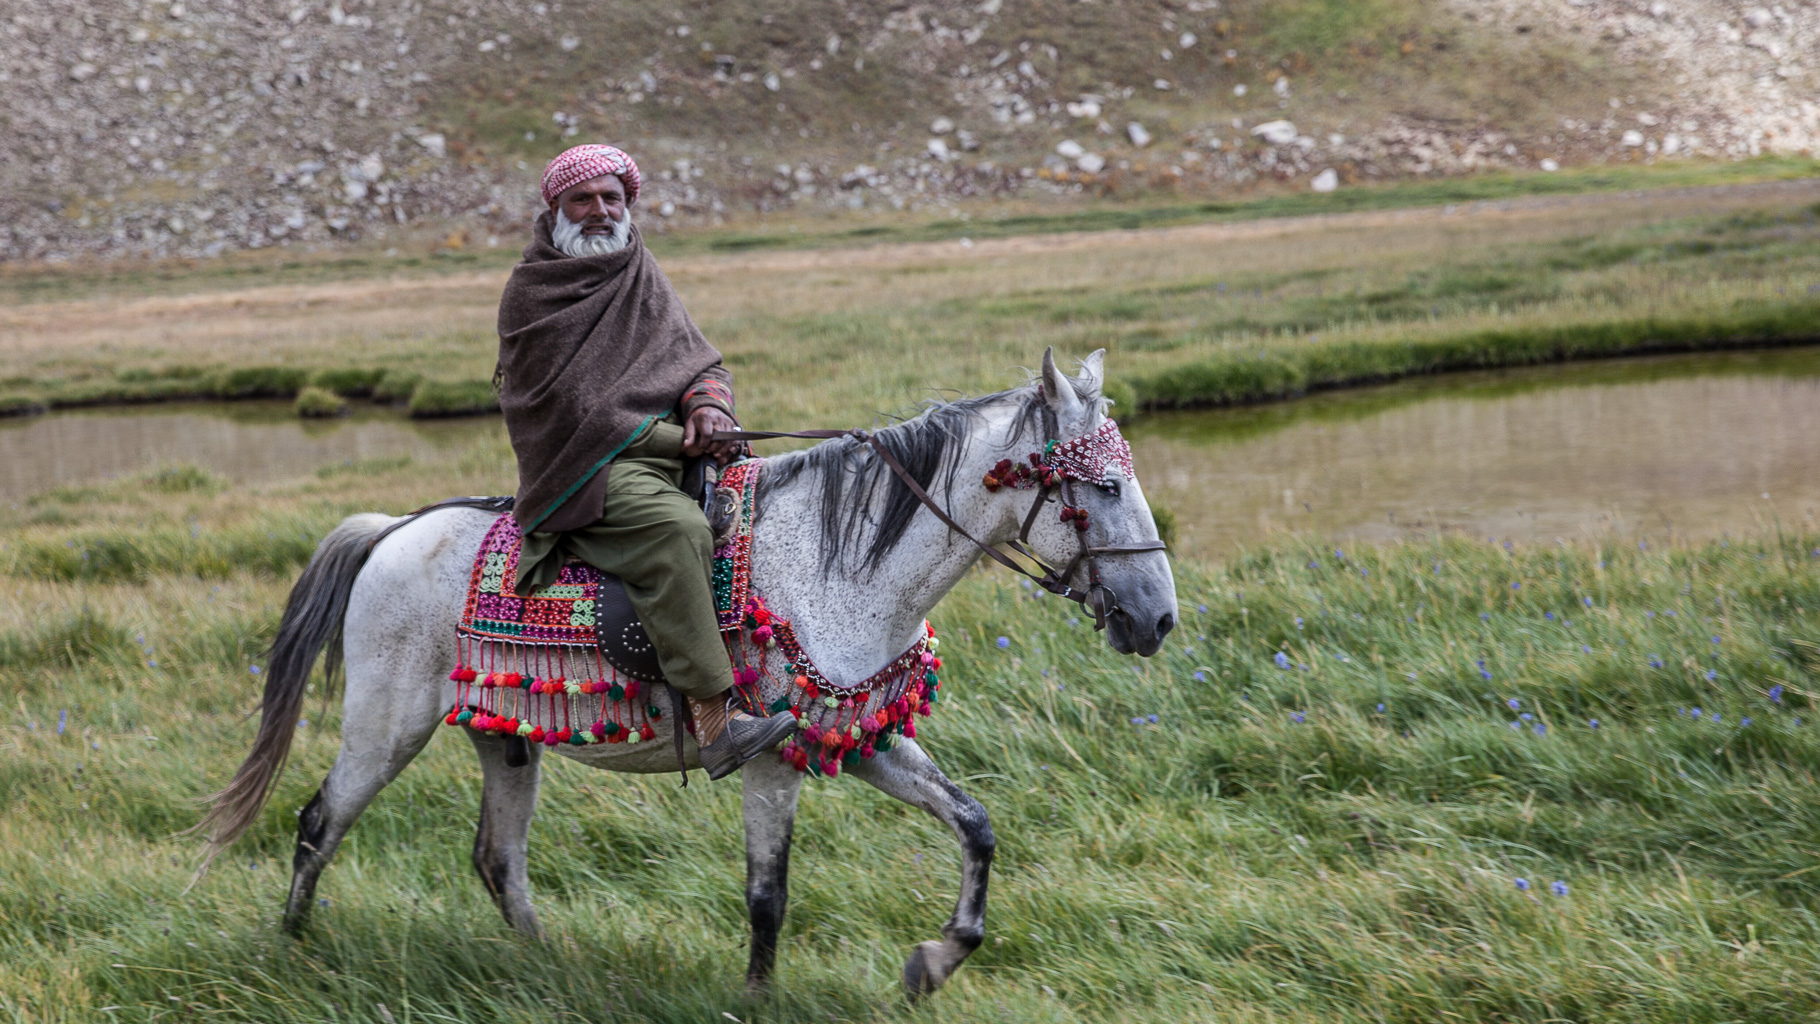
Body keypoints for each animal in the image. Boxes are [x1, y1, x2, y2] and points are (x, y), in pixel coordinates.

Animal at [202, 352, 1179, 1003]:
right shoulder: (771, 758)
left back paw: (552, 967)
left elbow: (976, 827)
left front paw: (932, 962)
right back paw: (293, 952)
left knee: (496, 858)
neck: (837, 563)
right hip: (385, 724)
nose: (1157, 619)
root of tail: (393, 530)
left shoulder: (861, 739)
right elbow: (767, 894)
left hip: (502, 736)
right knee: (320, 823)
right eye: (1098, 490)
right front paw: (757, 1000)